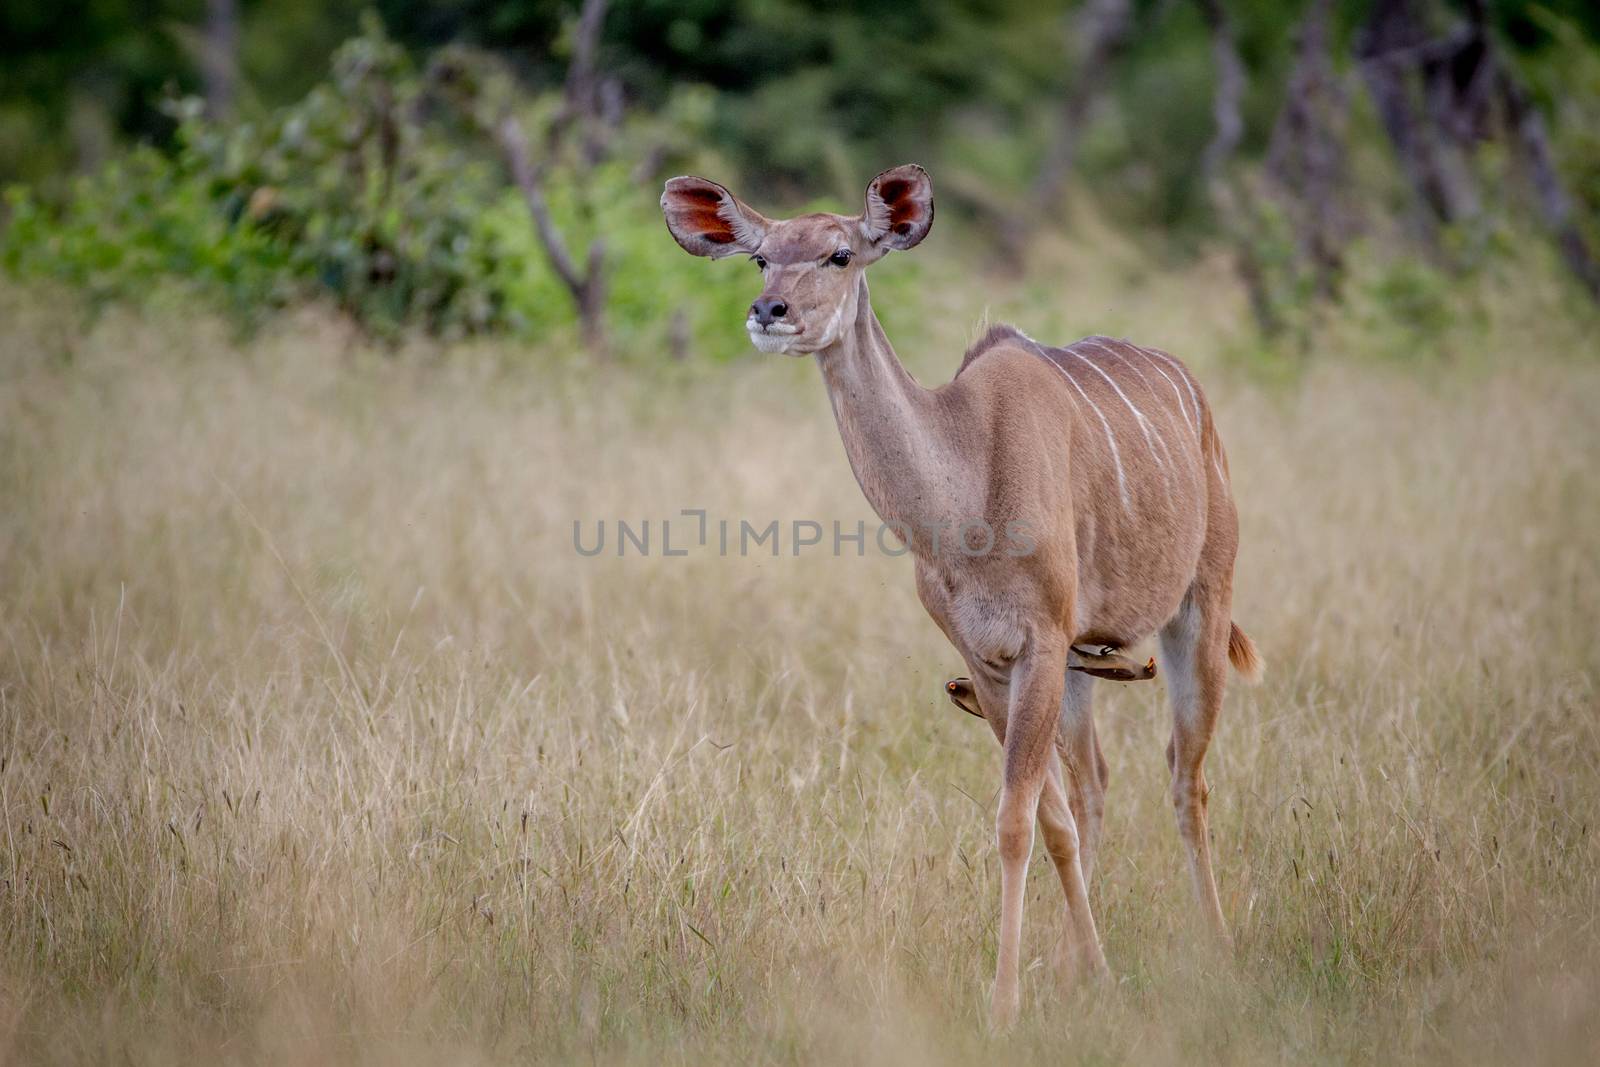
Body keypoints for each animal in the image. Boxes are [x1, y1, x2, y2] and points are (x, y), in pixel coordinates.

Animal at [662, 167, 1260, 1023]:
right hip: (1083, 663)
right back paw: (1083, 958)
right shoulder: (989, 657)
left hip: (1200, 609)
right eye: (761, 257)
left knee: (1187, 776)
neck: (965, 483)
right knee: (1095, 781)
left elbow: (1015, 819)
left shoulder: (1039, 640)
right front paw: (1082, 970)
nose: (769, 311)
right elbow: (1049, 816)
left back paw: (1217, 947)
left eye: (841, 253)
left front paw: (1004, 1002)